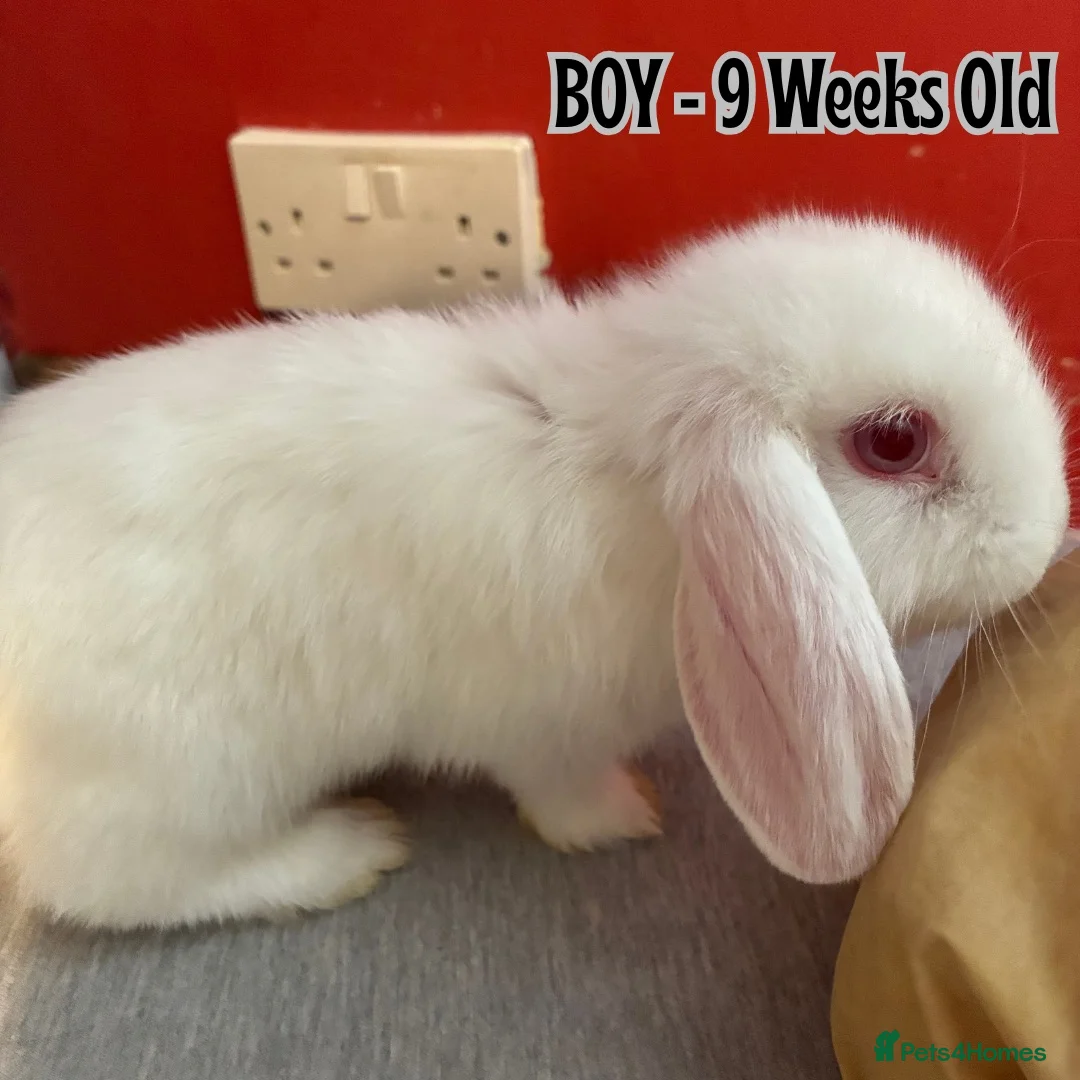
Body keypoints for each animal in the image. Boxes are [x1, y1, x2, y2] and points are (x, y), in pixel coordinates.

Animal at [0, 211, 1069, 931]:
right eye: (894, 441)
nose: (1043, 532)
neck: (638, 491)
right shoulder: (544, 727)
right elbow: (559, 796)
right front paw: (625, 817)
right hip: (182, 771)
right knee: (110, 884)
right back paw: (347, 851)